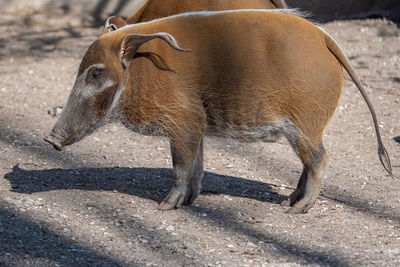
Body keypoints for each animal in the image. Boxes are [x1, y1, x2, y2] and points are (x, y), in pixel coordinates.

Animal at [43, 9, 390, 216]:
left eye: (96, 73)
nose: (50, 139)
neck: (138, 72)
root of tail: (326, 39)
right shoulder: (196, 126)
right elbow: (197, 165)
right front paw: (188, 203)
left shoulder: (183, 121)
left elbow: (181, 166)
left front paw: (164, 206)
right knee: (310, 162)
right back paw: (286, 200)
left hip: (305, 125)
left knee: (320, 160)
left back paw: (294, 210)